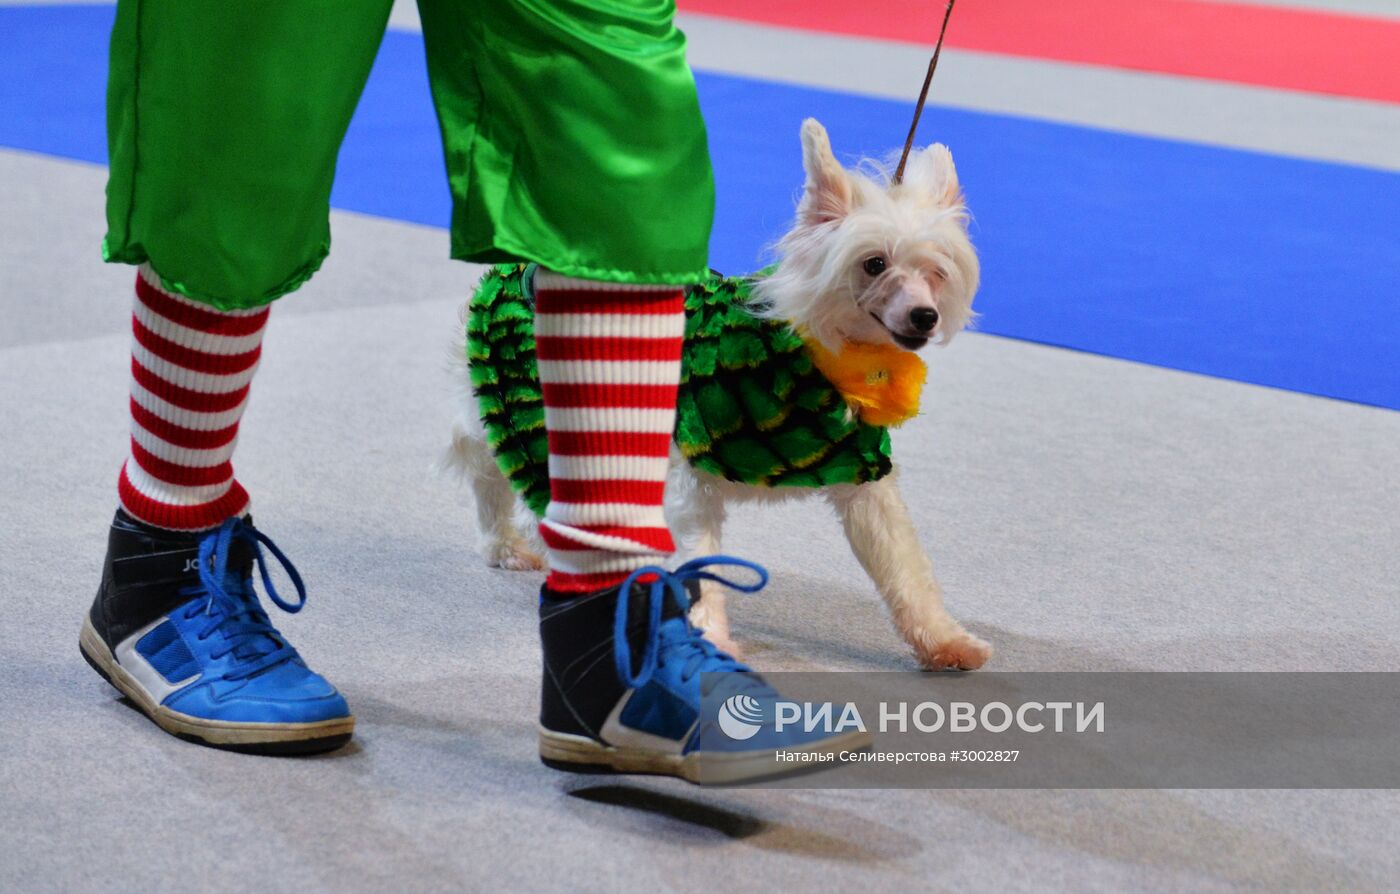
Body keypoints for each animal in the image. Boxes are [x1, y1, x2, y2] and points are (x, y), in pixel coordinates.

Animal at [445, 118, 985, 668]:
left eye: (938, 271)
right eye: (873, 264)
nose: (925, 317)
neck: (815, 357)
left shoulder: (864, 483)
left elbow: (903, 566)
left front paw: (943, 640)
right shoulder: (692, 476)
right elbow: (698, 562)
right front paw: (710, 638)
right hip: (513, 402)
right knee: (484, 465)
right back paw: (504, 543)